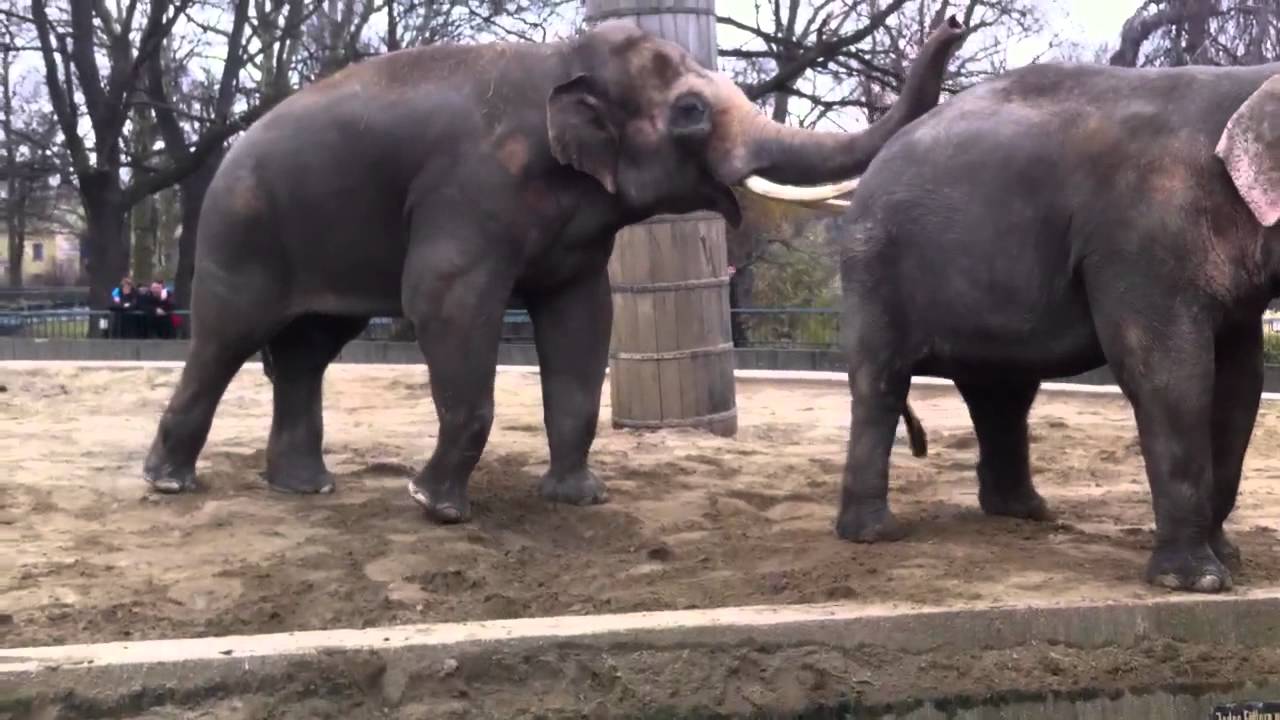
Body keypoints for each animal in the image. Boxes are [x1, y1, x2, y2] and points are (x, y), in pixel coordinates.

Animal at [141, 17, 966, 524]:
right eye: (692, 112)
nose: (955, 23)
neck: (561, 61)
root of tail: (231, 154)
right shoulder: (469, 189)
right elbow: (442, 302)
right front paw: (435, 506)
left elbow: (582, 319)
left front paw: (579, 499)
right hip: (239, 232)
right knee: (224, 339)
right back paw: (169, 481)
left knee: (309, 348)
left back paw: (306, 486)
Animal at [827, 59, 1280, 593]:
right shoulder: (1140, 241)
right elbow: (1172, 376)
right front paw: (1197, 582)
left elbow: (1240, 385)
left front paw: (1229, 559)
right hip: (875, 264)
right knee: (882, 381)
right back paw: (875, 534)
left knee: (1002, 394)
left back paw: (1022, 513)